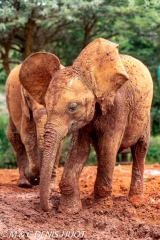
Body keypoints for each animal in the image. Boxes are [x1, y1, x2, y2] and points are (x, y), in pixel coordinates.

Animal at [5, 52, 62, 188]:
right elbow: (28, 137)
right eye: (27, 98)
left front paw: (52, 187)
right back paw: (24, 183)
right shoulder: (24, 107)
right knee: (14, 137)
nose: (36, 180)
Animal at [18, 37, 152, 212]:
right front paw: (69, 210)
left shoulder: (119, 106)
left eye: (72, 107)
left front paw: (101, 209)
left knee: (140, 149)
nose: (51, 206)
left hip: (145, 117)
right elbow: (80, 149)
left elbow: (108, 146)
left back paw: (135, 202)